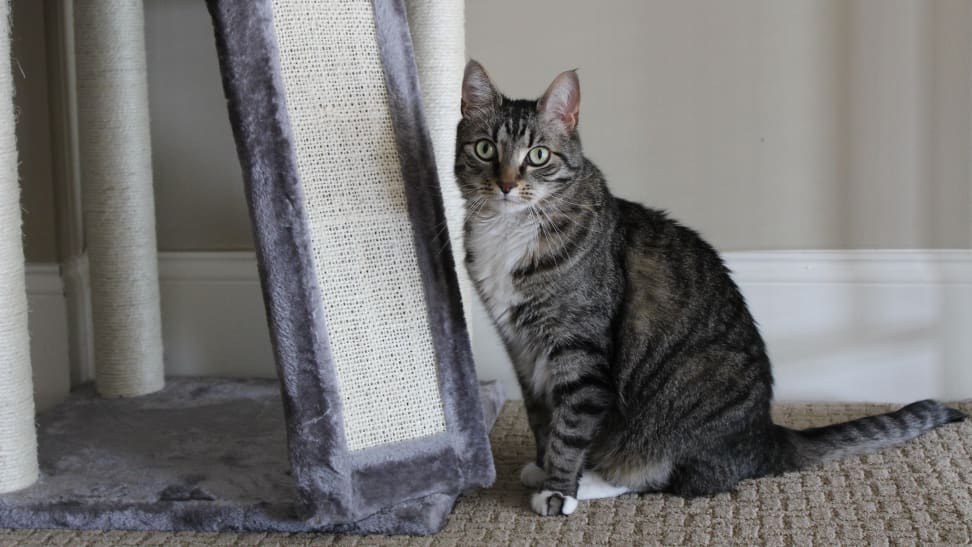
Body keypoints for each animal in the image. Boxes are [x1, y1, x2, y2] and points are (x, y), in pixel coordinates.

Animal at [454, 61, 964, 520]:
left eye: (538, 155)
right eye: (484, 148)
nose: (505, 184)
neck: (510, 230)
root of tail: (766, 435)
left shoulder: (579, 350)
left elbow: (571, 426)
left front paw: (559, 489)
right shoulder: (523, 350)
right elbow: (542, 418)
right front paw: (543, 467)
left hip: (675, 407)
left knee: (674, 476)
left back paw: (599, 477)